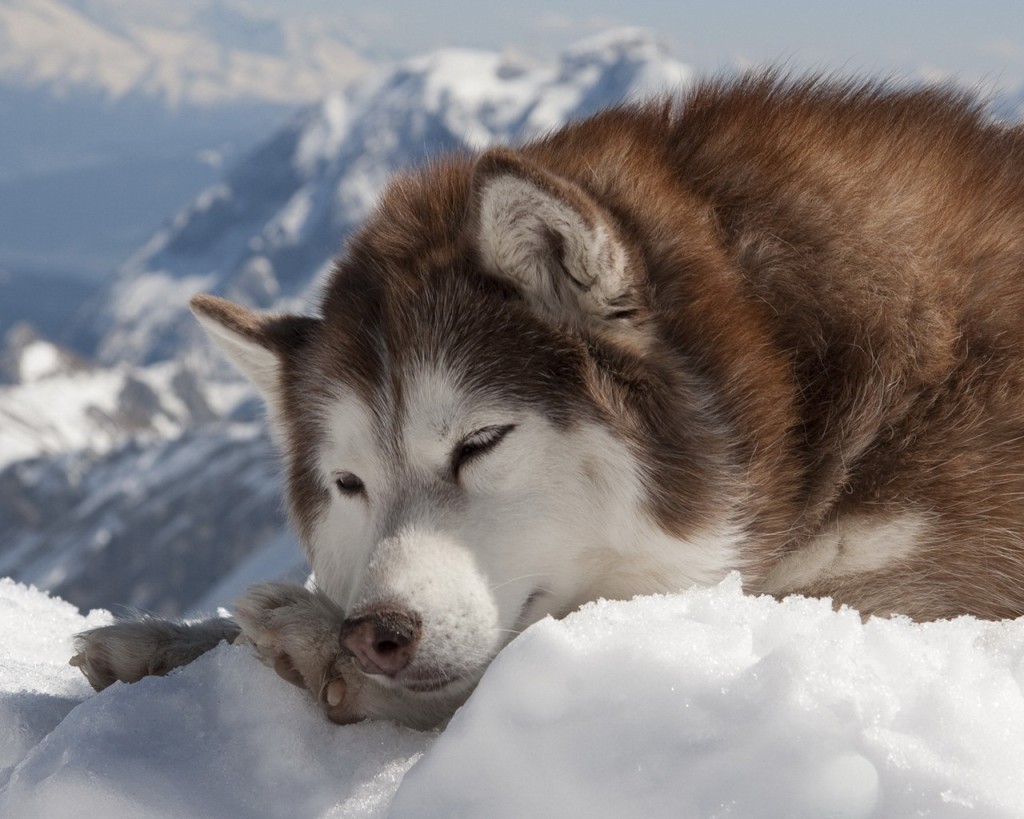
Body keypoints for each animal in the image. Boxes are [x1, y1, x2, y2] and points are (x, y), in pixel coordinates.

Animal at [75, 75, 1024, 728]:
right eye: (348, 484)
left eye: (481, 442)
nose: (374, 633)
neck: (794, 375)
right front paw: (162, 640)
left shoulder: (924, 597)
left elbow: (508, 666)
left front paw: (307, 642)